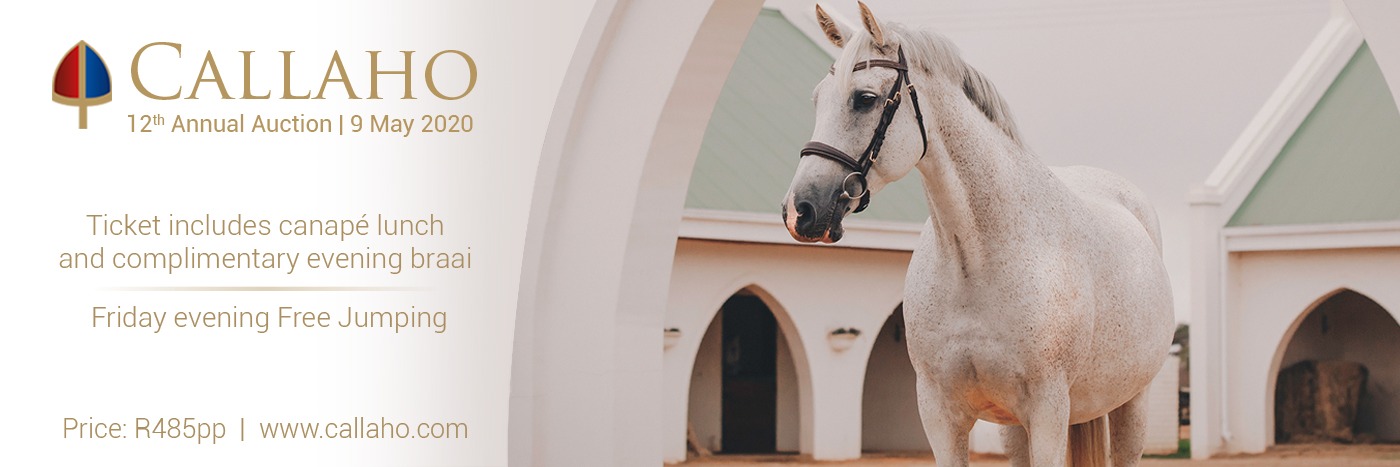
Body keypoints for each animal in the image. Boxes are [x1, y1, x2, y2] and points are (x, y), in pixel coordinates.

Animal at [781, 3, 1175, 466]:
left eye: (864, 99)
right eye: (817, 99)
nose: (801, 210)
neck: (977, 263)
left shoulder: (1048, 412)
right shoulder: (941, 416)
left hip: (1131, 404)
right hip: (1017, 428)